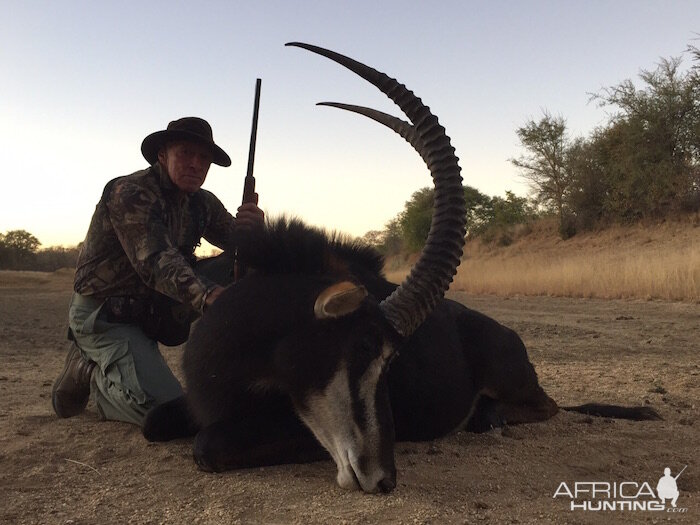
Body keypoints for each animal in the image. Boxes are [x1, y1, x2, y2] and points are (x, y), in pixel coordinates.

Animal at [144, 43, 660, 494]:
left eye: (392, 361)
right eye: (364, 347)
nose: (383, 478)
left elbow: (207, 445)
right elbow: (153, 422)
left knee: (547, 405)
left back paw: (487, 417)